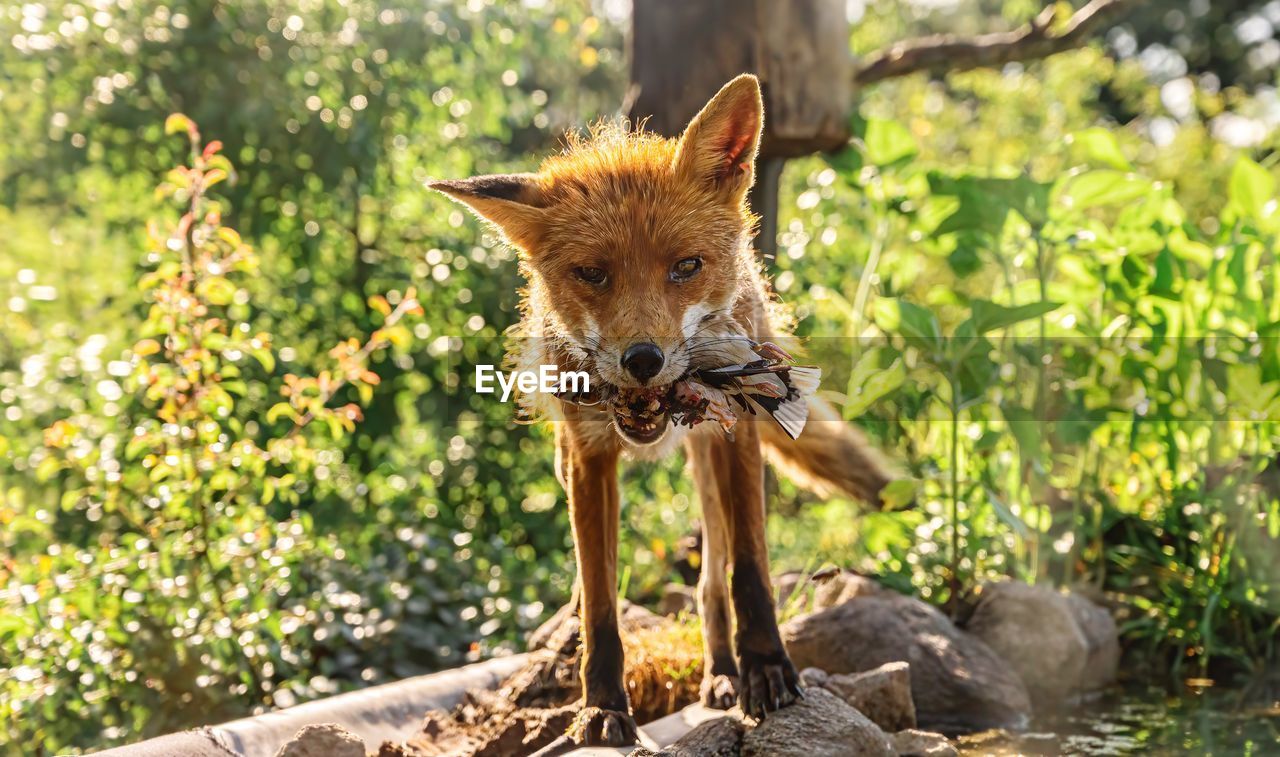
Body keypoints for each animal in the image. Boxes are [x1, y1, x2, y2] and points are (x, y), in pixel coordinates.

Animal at [430, 73, 890, 748]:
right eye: (592, 273)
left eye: (686, 266)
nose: (643, 359)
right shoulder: (589, 457)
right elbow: (600, 600)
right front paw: (601, 706)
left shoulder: (739, 435)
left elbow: (749, 570)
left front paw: (767, 669)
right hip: (571, 461)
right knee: (600, 583)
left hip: (711, 461)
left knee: (711, 577)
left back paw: (723, 672)